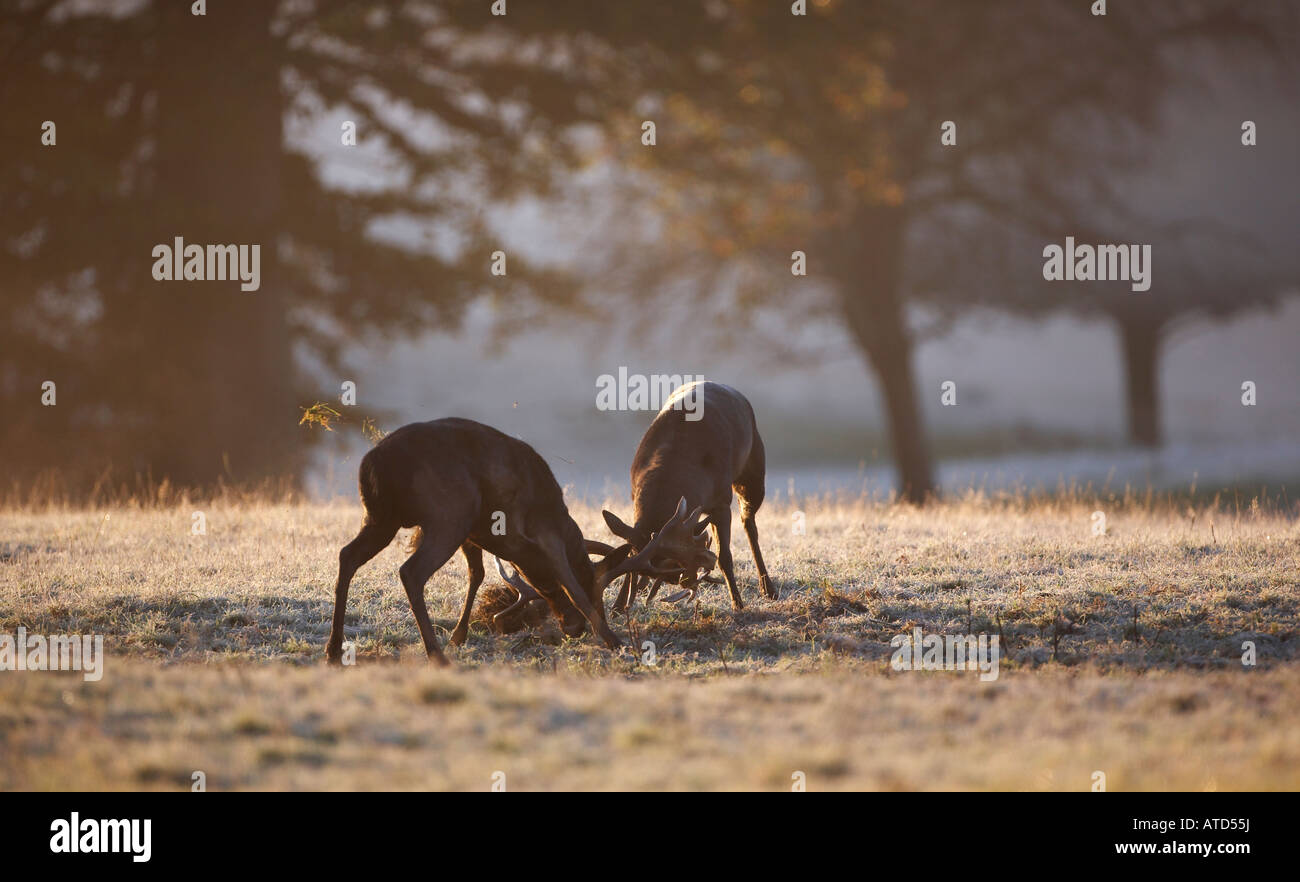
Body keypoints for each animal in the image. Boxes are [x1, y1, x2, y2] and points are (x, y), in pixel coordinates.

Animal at [326, 417, 641, 665]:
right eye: (594, 587)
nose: (574, 629)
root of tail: (374, 462)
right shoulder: (546, 533)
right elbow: (569, 583)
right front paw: (615, 641)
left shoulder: (473, 535)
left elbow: (476, 574)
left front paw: (458, 636)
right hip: (447, 515)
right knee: (410, 571)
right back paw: (436, 655)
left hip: (380, 518)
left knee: (347, 555)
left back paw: (333, 650)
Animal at [602, 380, 776, 613]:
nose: (674, 580)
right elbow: (630, 553)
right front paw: (618, 607)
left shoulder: (721, 501)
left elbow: (724, 557)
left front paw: (737, 603)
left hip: (753, 474)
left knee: (749, 523)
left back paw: (768, 588)